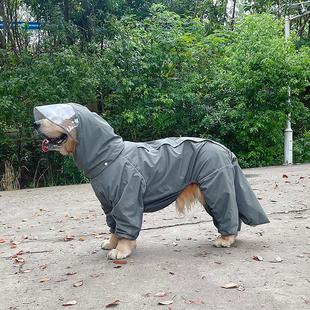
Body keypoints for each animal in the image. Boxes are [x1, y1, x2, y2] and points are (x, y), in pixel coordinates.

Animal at [33, 103, 268, 260]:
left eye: (56, 118)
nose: (35, 123)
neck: (109, 156)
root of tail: (224, 149)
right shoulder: (108, 204)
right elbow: (113, 225)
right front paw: (112, 243)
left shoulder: (125, 198)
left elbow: (125, 224)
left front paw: (122, 249)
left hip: (215, 186)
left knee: (228, 210)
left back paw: (226, 239)